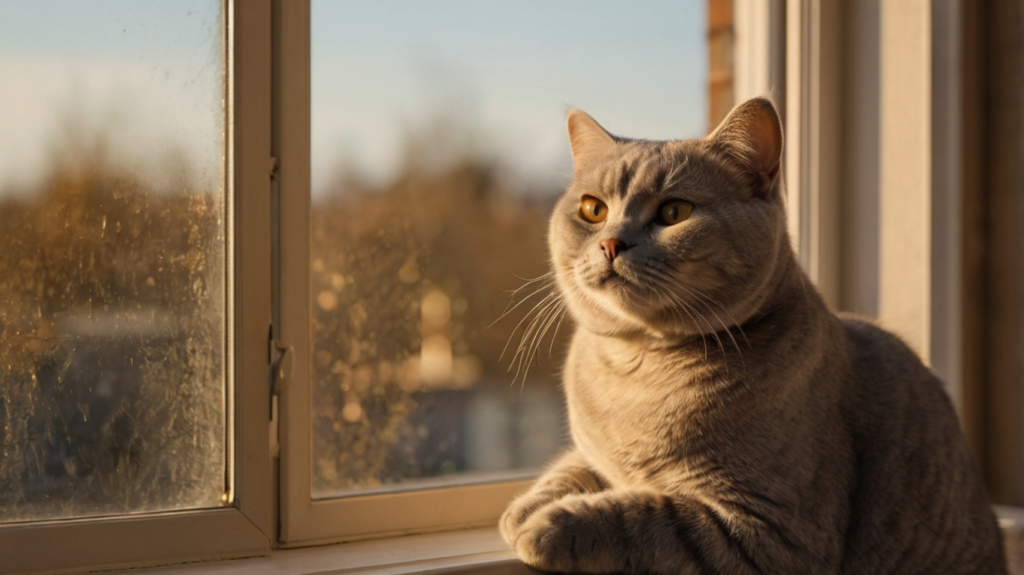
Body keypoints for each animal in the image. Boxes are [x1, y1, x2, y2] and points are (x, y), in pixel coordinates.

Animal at [499, 98, 1003, 572]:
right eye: (593, 209)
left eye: (674, 211)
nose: (610, 243)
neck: (637, 366)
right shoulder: (593, 452)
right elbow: (571, 465)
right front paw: (524, 508)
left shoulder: (770, 533)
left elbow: (641, 515)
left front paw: (550, 524)